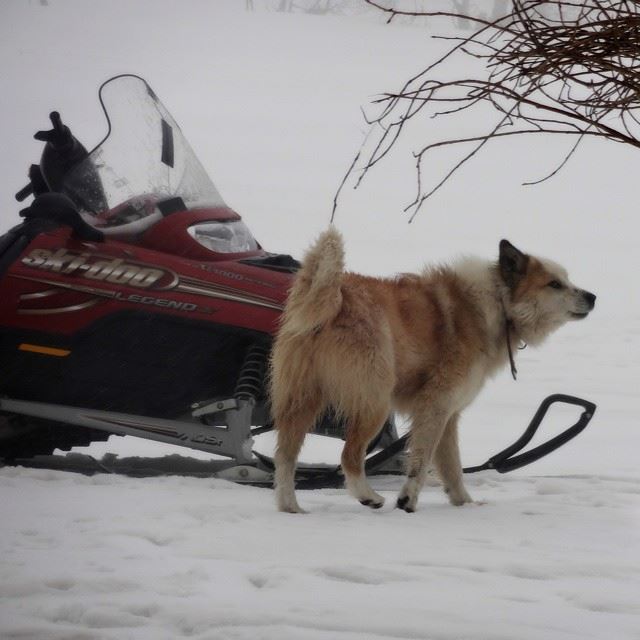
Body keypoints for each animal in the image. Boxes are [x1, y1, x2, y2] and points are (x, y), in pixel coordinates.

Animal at [270, 228, 596, 512]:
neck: (498, 302)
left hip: (301, 400)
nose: (593, 297)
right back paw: (368, 497)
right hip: (376, 400)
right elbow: (421, 461)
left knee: (284, 458)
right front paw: (407, 501)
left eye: (567, 279)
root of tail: (334, 297)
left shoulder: (449, 414)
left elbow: (452, 467)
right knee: (349, 456)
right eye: (554, 284)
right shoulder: (435, 405)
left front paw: (465, 504)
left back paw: (290, 507)